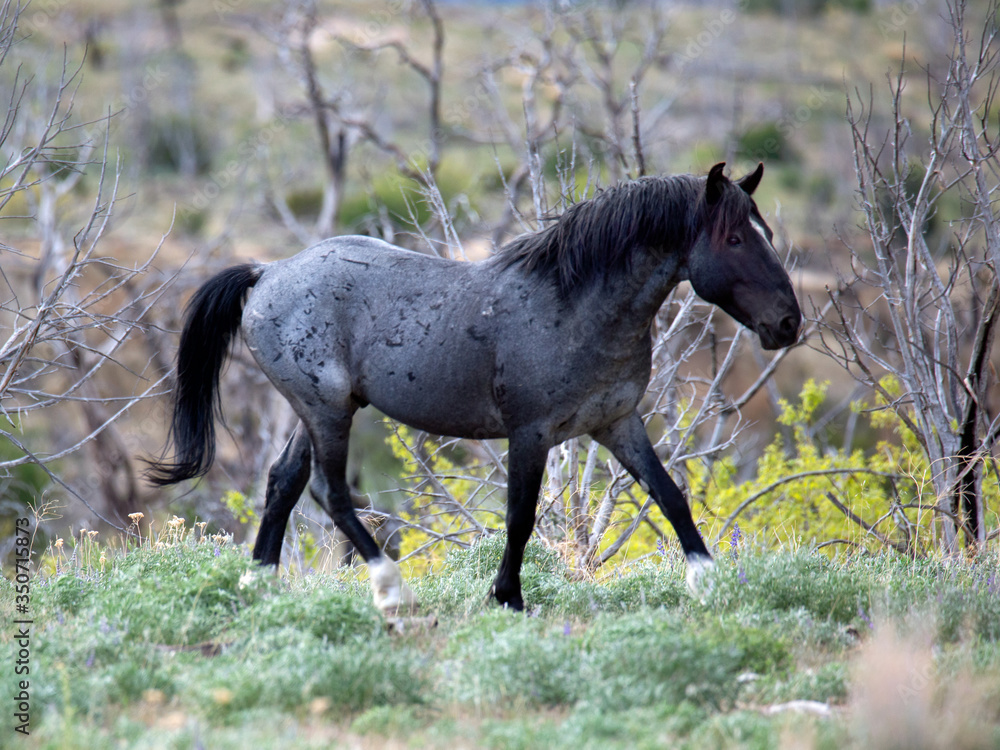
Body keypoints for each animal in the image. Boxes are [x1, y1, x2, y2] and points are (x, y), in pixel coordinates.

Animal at [148, 162, 801, 613]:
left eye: (766, 231)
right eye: (735, 239)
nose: (788, 323)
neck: (575, 305)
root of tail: (268, 273)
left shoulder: (616, 423)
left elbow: (670, 494)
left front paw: (706, 582)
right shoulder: (531, 434)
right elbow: (520, 518)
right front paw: (508, 597)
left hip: (323, 410)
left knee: (283, 481)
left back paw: (257, 583)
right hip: (327, 410)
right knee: (330, 494)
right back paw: (389, 590)